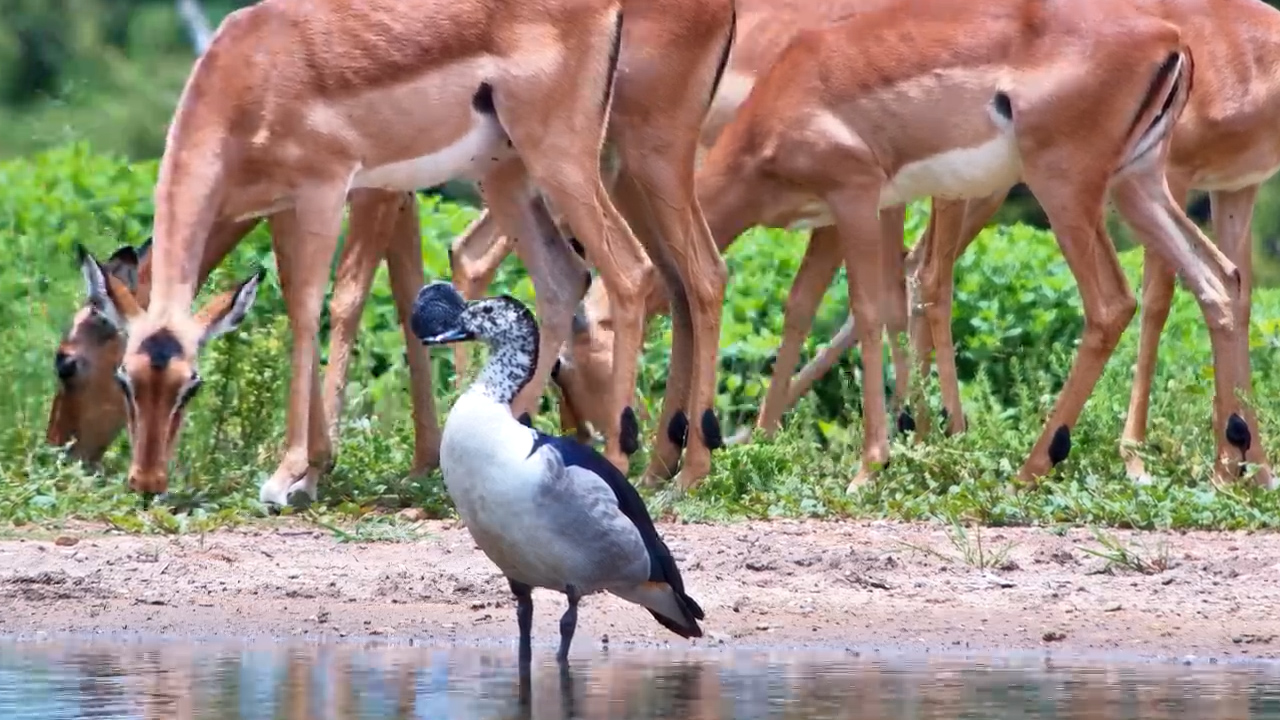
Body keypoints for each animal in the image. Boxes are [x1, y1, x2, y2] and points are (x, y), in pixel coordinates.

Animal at [75, 0, 735, 503]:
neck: (255, 66)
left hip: (578, 161)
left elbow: (318, 309)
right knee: (570, 278)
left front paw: (291, 475)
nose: (146, 482)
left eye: (191, 384)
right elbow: (324, 301)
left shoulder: (329, 191)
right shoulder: (287, 208)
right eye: (126, 378)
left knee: (641, 272)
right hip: (516, 175)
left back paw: (645, 467)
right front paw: (316, 469)